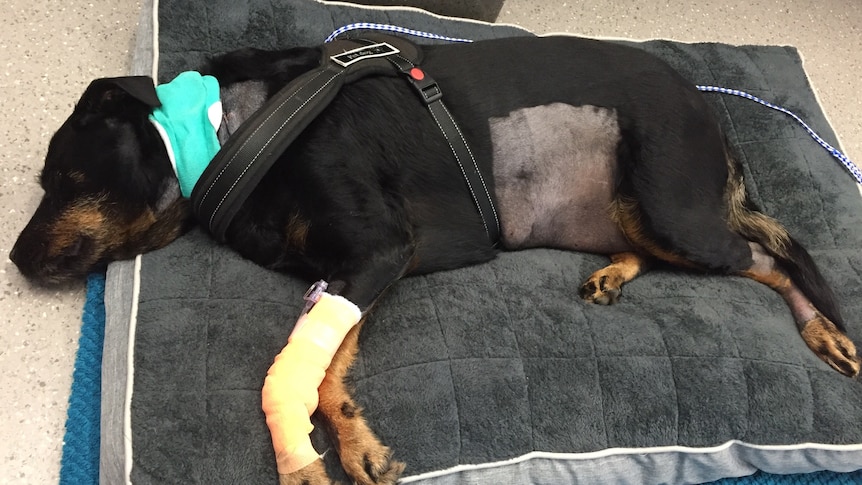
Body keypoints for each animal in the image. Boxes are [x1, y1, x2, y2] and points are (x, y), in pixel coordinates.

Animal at [10, 36, 860, 484]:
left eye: (66, 178)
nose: (14, 258)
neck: (227, 130)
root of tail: (708, 108)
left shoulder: (377, 247)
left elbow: (291, 369)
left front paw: (308, 457)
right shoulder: (353, 268)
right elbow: (326, 365)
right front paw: (353, 441)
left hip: (677, 209)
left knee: (771, 253)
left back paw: (824, 331)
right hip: (630, 214)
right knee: (680, 251)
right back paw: (613, 273)